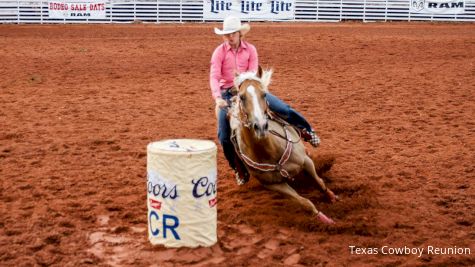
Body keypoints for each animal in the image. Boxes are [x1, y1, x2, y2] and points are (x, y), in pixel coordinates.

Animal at [229, 66, 336, 224]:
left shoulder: (305, 162)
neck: (269, 152)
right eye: (241, 97)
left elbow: (319, 181)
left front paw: (332, 197)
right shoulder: (273, 185)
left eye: (264, 94)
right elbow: (304, 202)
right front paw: (325, 220)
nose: (261, 126)